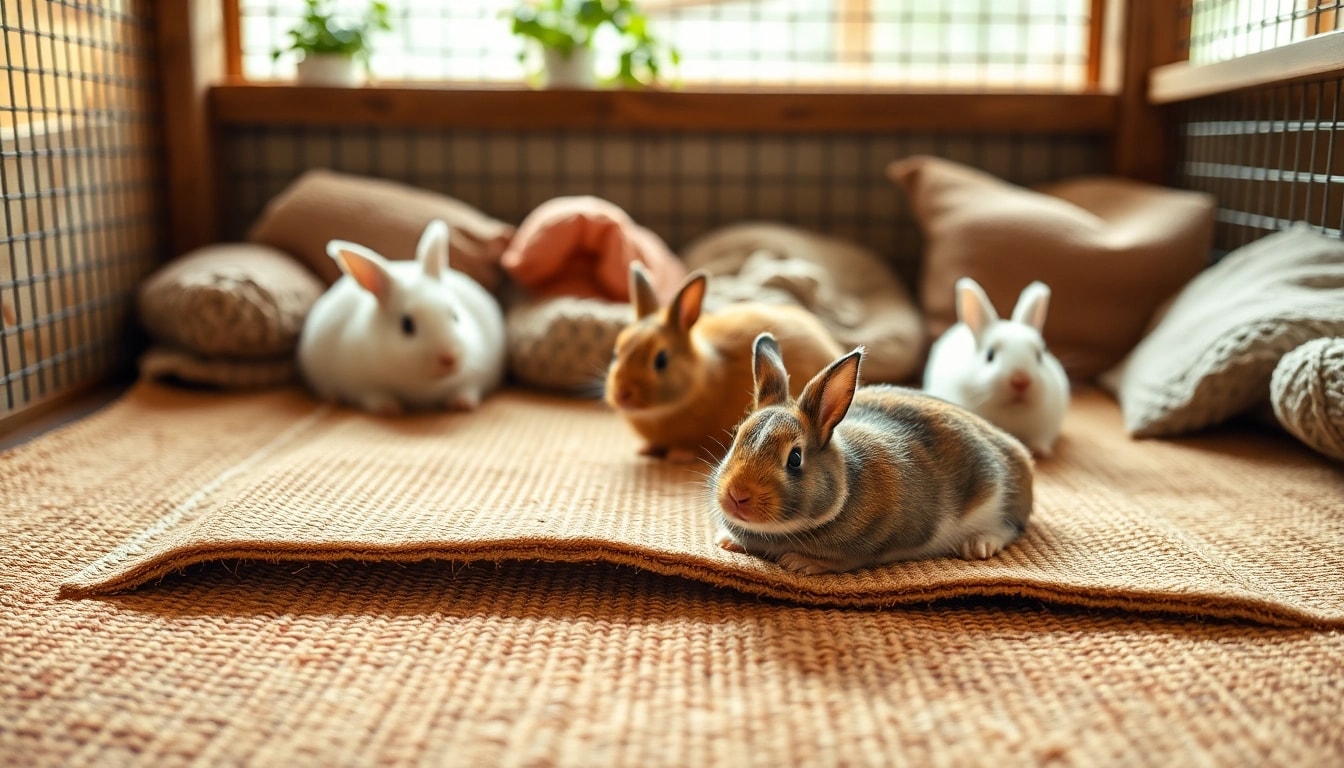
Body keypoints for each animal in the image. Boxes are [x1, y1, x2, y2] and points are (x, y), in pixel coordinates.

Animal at [297, 219, 506, 416]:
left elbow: (467, 388)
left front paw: (463, 404)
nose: (449, 358)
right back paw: (331, 397)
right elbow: (374, 396)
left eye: (455, 316)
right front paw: (389, 408)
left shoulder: (475, 377)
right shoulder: (362, 385)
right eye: (407, 325)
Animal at [711, 333, 1035, 575]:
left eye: (795, 458)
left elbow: (848, 560)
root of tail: (1020, 456)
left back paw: (979, 545)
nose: (737, 496)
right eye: (736, 438)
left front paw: (801, 562)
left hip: (999, 496)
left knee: (1009, 527)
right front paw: (726, 541)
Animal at [922, 277, 1070, 457]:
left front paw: (1039, 450)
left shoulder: (1047, 425)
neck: (1012, 412)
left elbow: (1042, 438)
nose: (1021, 381)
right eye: (990, 355)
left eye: (1039, 356)